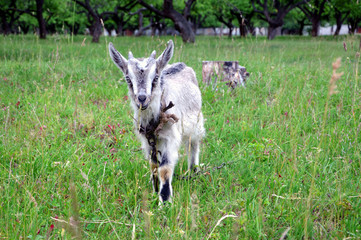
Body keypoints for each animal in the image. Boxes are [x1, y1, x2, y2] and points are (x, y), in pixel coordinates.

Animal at [107, 40, 204, 202]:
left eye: (156, 77)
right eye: (128, 78)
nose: (142, 98)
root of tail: (182, 65)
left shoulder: (170, 137)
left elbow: (164, 168)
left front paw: (165, 201)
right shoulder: (148, 141)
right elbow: (153, 166)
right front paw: (154, 190)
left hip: (196, 122)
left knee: (193, 145)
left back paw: (193, 171)